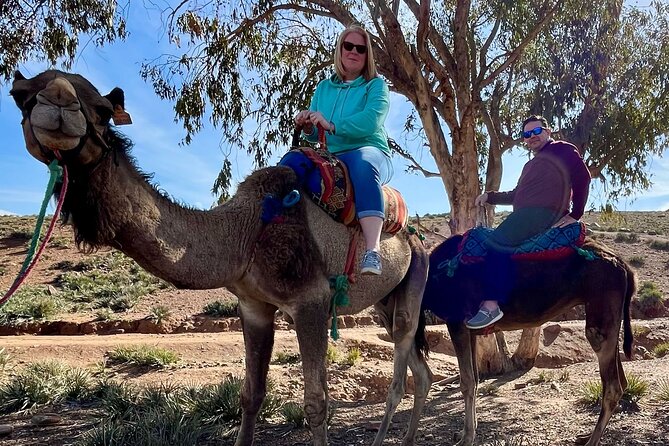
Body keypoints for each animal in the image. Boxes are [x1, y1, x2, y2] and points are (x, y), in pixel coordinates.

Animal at [10, 69, 433, 446]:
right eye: (21, 96)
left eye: (100, 109)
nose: (57, 103)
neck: (246, 233)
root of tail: (415, 235)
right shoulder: (253, 304)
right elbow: (251, 395)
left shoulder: (311, 301)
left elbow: (316, 403)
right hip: (384, 300)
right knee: (420, 369)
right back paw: (411, 436)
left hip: (415, 276)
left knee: (401, 367)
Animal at [422, 233, 636, 446]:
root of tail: (624, 266)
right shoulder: (470, 330)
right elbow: (474, 378)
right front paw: (467, 432)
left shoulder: (456, 322)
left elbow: (466, 382)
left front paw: (466, 438)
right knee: (621, 381)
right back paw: (584, 436)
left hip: (601, 309)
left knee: (612, 385)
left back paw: (591, 441)